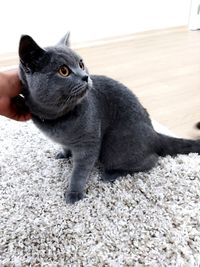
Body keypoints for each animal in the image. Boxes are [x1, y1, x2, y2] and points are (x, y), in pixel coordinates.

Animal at [18, 34, 200, 205]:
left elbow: (79, 172)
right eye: (63, 71)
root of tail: (154, 133)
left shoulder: (89, 144)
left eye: (81, 64)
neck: (56, 118)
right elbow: (64, 146)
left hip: (112, 147)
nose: (85, 76)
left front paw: (74, 193)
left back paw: (110, 174)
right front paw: (63, 154)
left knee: (151, 160)